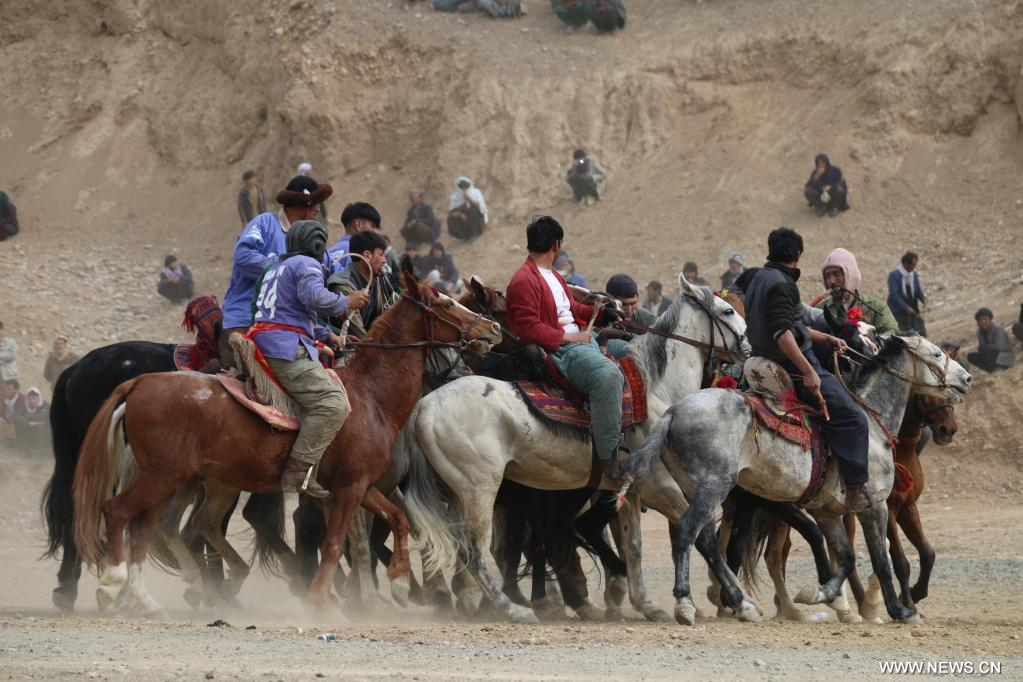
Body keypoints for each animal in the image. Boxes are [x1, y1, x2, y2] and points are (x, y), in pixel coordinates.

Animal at [73, 274, 503, 617]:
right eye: (445, 303)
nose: (493, 328)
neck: (371, 395)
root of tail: (140, 383)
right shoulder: (349, 489)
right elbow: (335, 544)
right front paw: (324, 602)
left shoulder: (357, 486)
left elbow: (394, 521)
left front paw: (397, 582)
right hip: (164, 477)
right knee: (120, 512)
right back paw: (113, 586)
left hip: (176, 480)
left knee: (150, 528)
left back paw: (150, 599)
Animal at [401, 276, 761, 625]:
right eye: (728, 310)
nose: (748, 346)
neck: (655, 393)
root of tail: (423, 406)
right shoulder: (659, 486)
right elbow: (702, 536)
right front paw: (738, 602)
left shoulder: (631, 490)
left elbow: (634, 545)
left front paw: (646, 604)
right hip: (480, 489)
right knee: (476, 550)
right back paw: (514, 608)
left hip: (457, 492)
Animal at [626, 333, 969, 625]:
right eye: (936, 353)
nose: (967, 378)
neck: (872, 422)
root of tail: (674, 412)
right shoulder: (875, 505)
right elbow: (882, 562)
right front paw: (900, 611)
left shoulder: (828, 512)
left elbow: (846, 557)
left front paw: (822, 594)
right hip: (713, 487)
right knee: (690, 532)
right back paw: (686, 603)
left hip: (698, 490)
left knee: (707, 541)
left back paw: (743, 603)